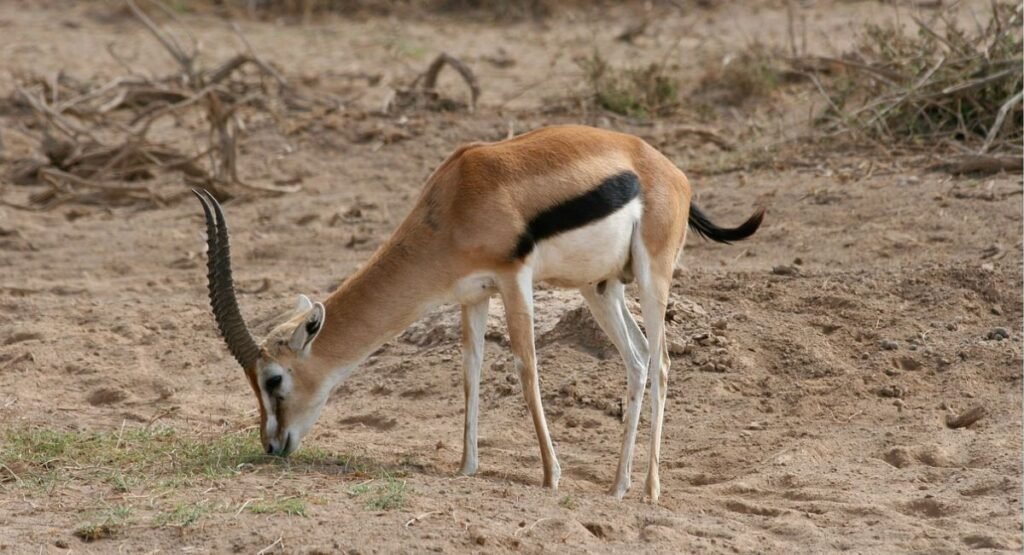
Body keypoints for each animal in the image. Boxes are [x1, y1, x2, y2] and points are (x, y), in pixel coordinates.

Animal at [194, 124, 762, 501]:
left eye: (273, 379)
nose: (272, 444)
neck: (453, 200)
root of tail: (669, 171)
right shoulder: (473, 295)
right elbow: (470, 374)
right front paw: (466, 466)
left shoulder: (514, 279)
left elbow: (527, 371)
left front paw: (551, 476)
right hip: (600, 288)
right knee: (639, 359)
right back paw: (618, 486)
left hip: (651, 277)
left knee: (661, 364)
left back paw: (649, 489)